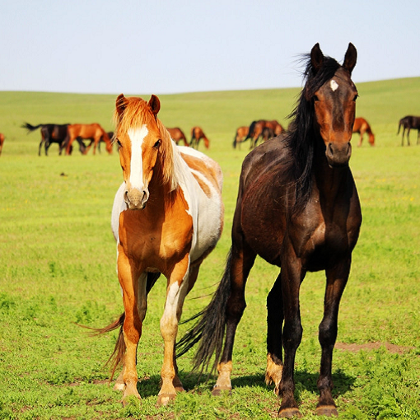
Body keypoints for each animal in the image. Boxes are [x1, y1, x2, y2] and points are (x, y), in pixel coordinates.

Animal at [97, 93, 225, 406]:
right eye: (119, 141)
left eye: (156, 142)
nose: (134, 196)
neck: (153, 213)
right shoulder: (127, 265)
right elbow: (132, 324)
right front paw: (130, 390)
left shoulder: (179, 267)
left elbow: (169, 324)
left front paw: (167, 389)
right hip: (143, 273)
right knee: (139, 313)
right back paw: (123, 379)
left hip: (190, 271)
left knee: (174, 314)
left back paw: (176, 381)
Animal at [177, 41, 360, 416]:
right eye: (315, 97)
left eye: (354, 95)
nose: (337, 151)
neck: (325, 195)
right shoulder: (293, 259)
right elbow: (294, 329)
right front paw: (290, 401)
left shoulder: (339, 264)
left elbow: (327, 329)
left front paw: (325, 399)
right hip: (245, 249)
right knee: (235, 307)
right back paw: (224, 381)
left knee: (274, 303)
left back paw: (274, 375)